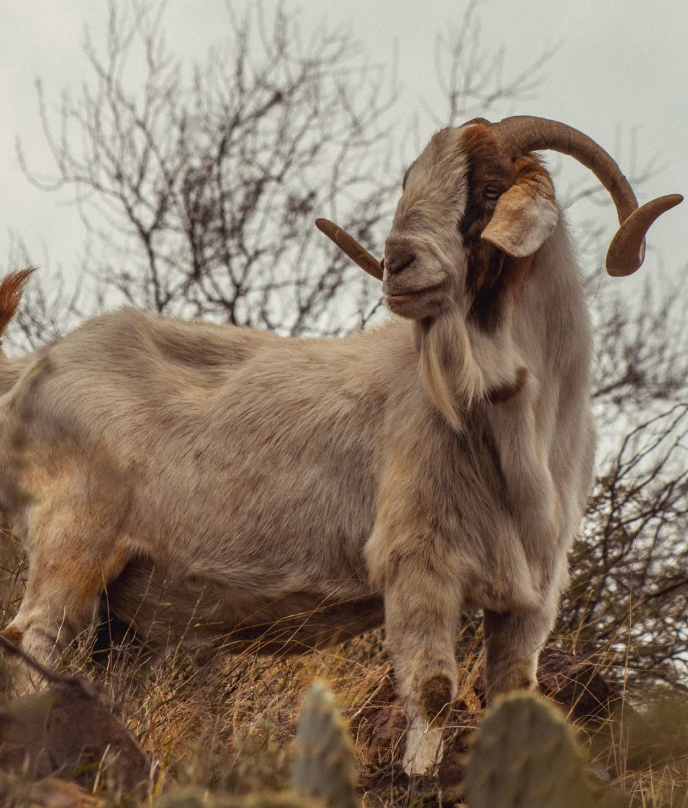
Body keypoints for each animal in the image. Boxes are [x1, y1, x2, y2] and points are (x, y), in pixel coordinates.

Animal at [0, 115, 680, 776]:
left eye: (489, 189)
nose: (398, 261)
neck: (516, 421)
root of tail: (35, 368)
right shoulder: (420, 566)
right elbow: (432, 691)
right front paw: (417, 778)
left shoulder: (531, 597)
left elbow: (515, 698)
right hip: (73, 545)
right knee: (33, 639)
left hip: (133, 614)